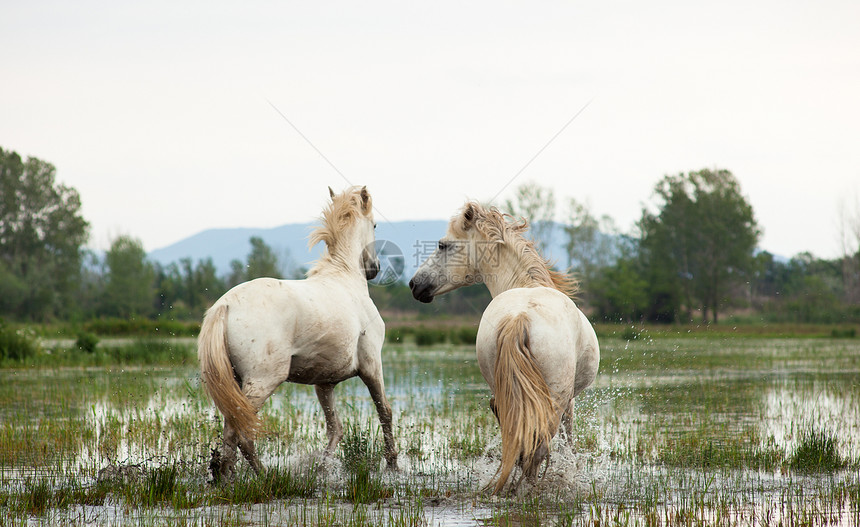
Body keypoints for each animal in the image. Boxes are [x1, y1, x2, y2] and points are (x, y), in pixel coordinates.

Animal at [201, 187, 400, 482]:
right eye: (374, 225)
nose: (373, 269)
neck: (346, 278)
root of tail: (225, 305)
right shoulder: (371, 364)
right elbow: (384, 411)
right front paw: (393, 465)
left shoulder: (325, 382)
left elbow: (335, 428)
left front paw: (322, 469)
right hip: (262, 381)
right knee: (242, 433)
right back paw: (262, 476)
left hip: (235, 383)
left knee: (231, 432)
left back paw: (226, 476)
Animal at [410, 202, 596, 496]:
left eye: (443, 245)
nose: (414, 284)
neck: (527, 283)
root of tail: (520, 318)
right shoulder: (569, 402)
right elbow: (568, 439)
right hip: (553, 399)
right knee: (538, 446)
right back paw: (529, 487)